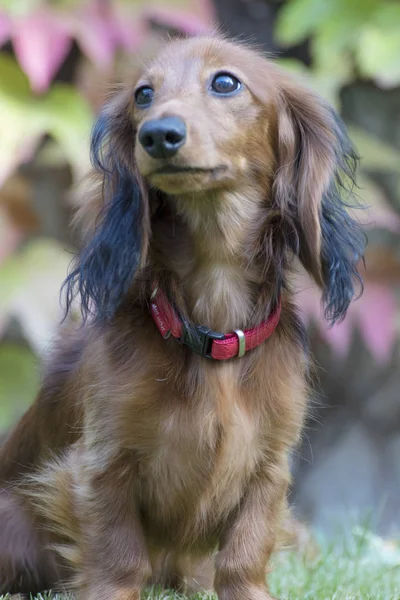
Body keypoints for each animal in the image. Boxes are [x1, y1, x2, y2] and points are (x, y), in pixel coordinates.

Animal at [0, 34, 366, 600]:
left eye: (225, 82)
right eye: (143, 94)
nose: (157, 135)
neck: (212, 331)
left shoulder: (269, 466)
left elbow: (243, 556)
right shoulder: (103, 462)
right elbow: (118, 555)